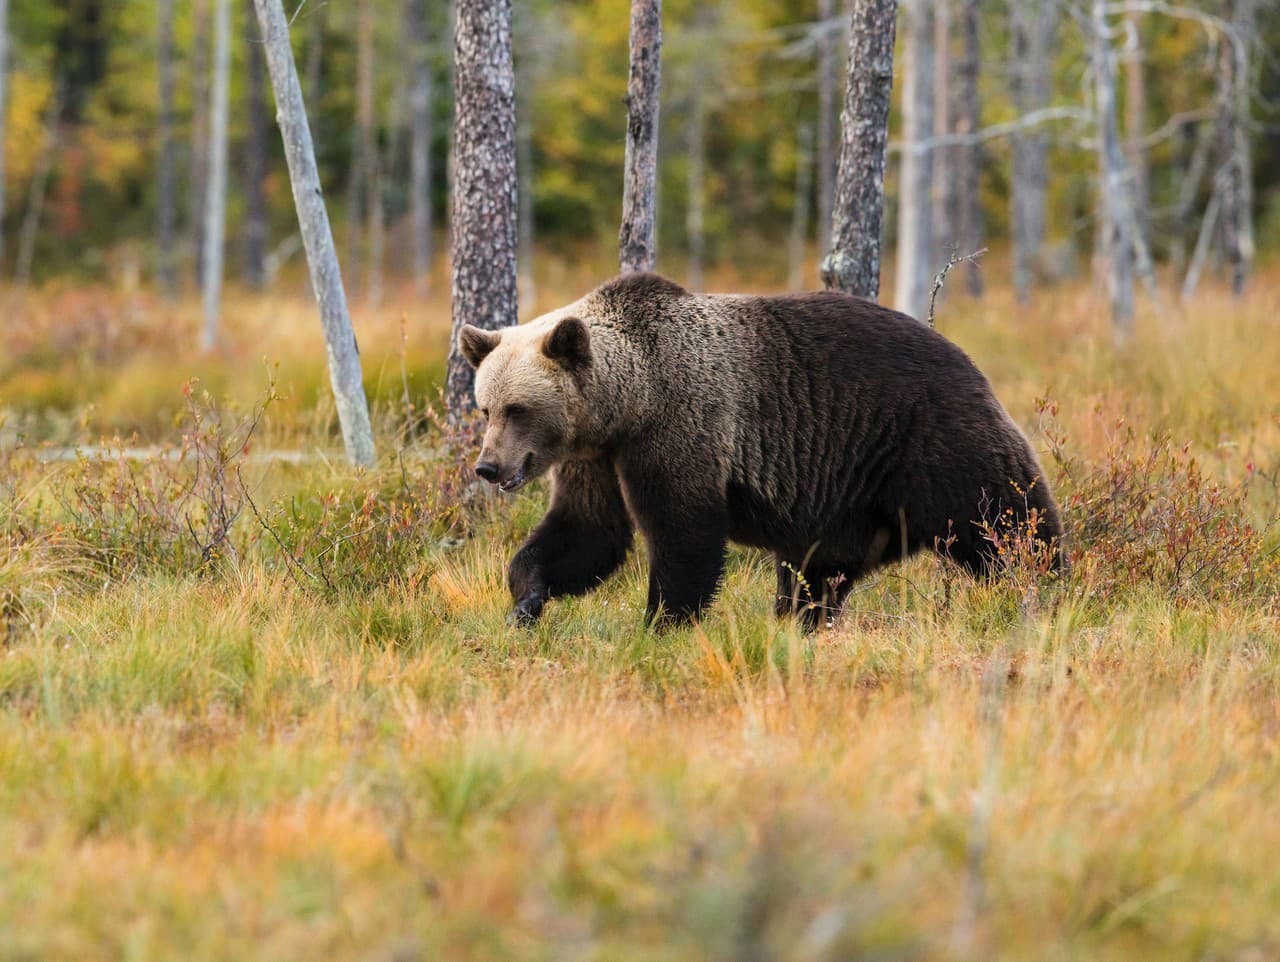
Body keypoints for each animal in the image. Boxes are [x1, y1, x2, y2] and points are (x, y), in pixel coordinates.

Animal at [458, 272, 1059, 631]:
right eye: (486, 408)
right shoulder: (597, 457)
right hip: (847, 499)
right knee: (817, 572)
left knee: (1004, 520)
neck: (628, 402)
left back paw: (1047, 586)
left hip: (928, 439)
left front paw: (662, 622)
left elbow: (684, 533)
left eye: (518, 409)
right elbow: (587, 532)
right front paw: (526, 600)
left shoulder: (682, 424)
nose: (488, 466)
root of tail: (969, 361)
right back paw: (803, 620)